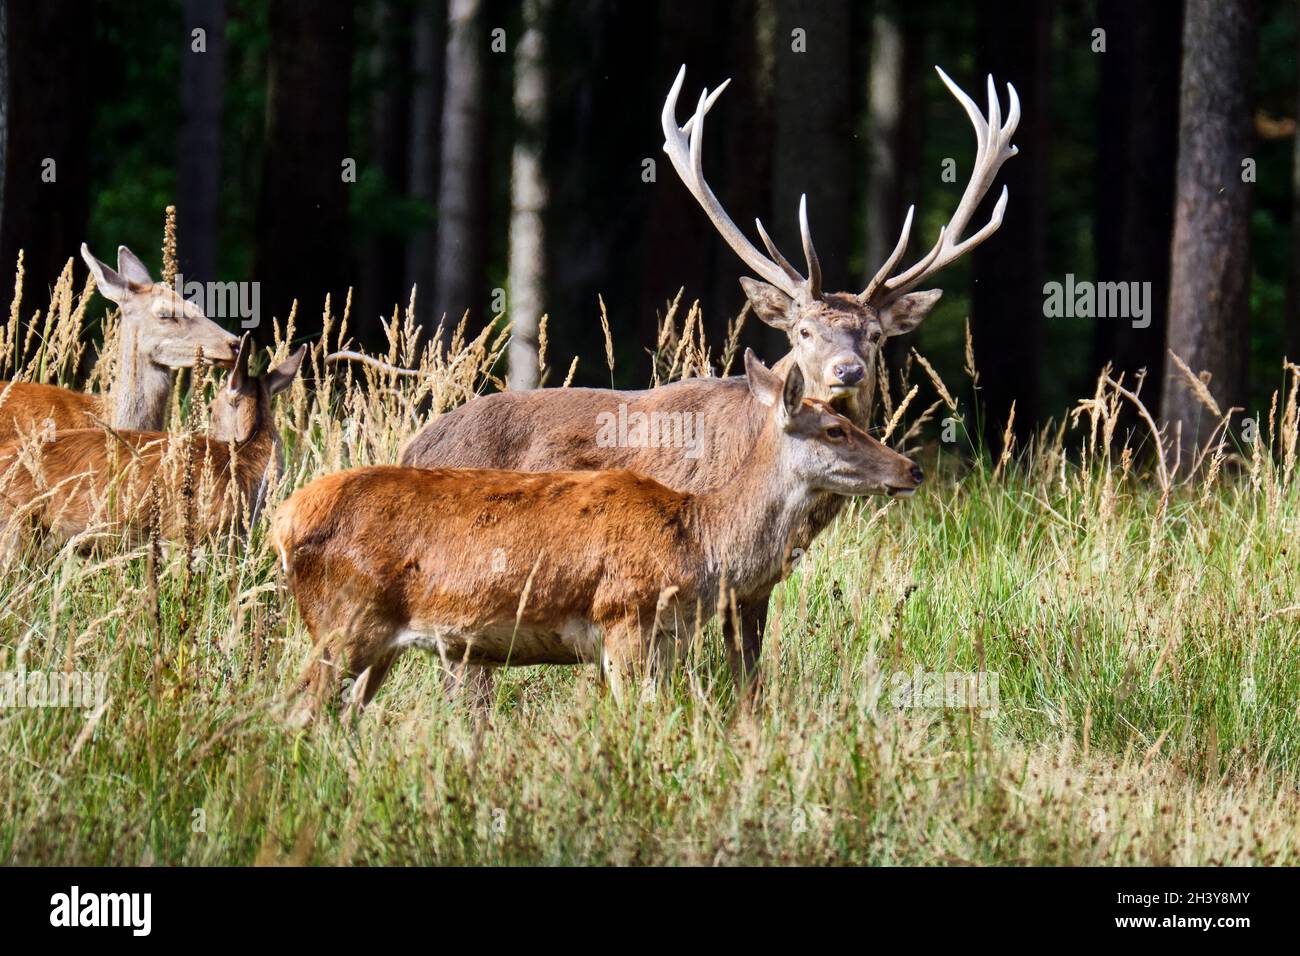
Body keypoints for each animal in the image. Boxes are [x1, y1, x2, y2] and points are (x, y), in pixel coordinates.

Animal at [278, 351, 920, 717]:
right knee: (296, 708)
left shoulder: (665, 641)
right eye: (836, 430)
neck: (703, 544)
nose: (910, 468)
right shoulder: (623, 619)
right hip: (345, 620)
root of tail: (284, 522)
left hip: (377, 642)